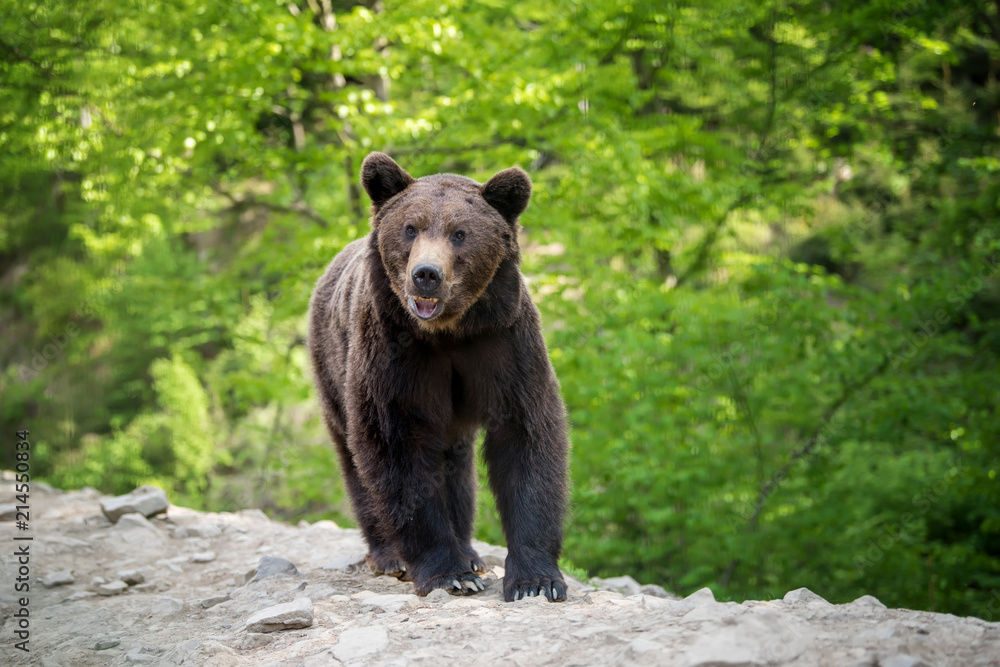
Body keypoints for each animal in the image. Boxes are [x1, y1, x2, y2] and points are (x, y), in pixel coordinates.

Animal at [304, 154, 572, 604]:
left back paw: (470, 552)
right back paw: (390, 555)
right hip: (331, 363)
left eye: (460, 233)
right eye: (410, 227)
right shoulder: (395, 354)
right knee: (355, 459)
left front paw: (535, 579)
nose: (426, 274)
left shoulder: (503, 343)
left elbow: (525, 436)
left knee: (455, 465)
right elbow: (397, 448)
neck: (449, 332)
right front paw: (448, 574)